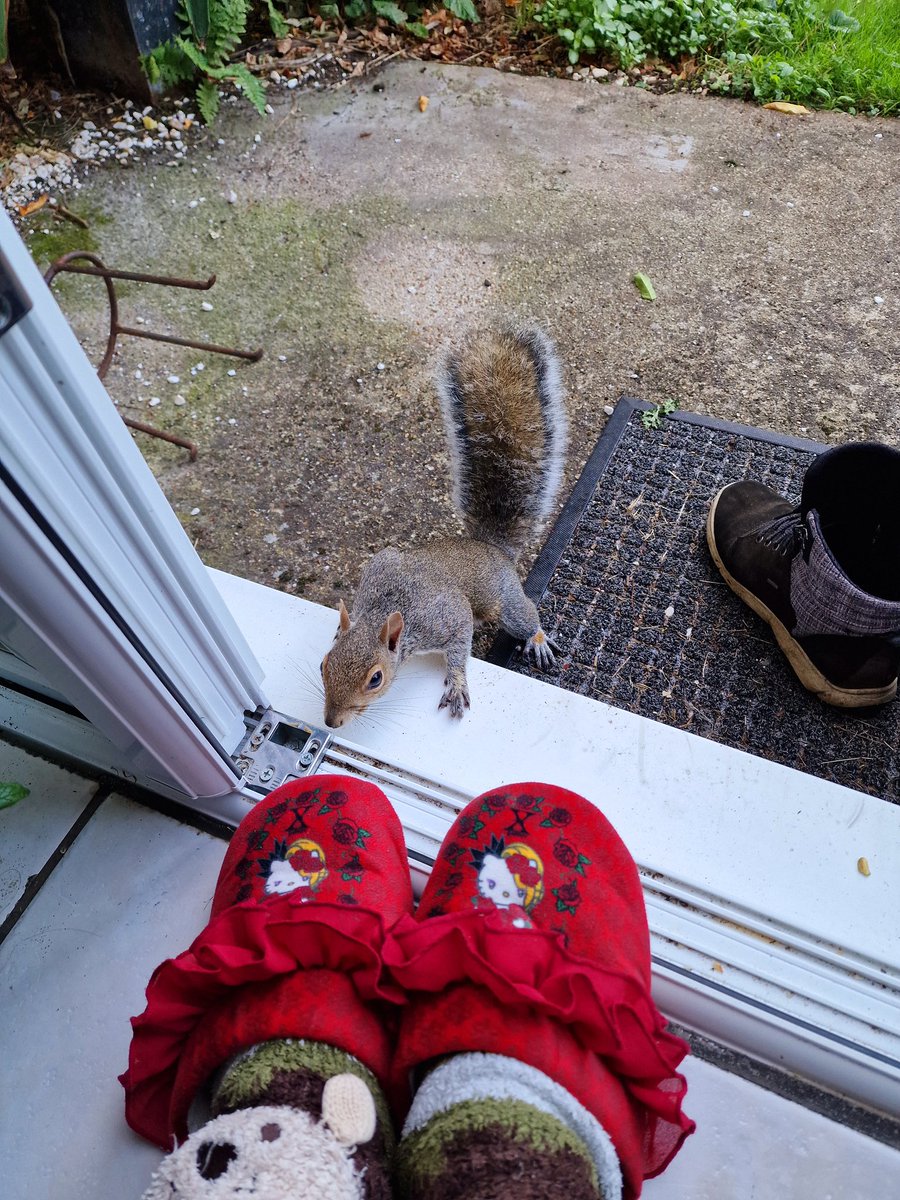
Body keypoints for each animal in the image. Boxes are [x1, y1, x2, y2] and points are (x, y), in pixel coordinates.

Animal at [320, 323, 568, 729]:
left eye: (376, 679)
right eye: (324, 665)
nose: (331, 722)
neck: (382, 611)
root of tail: (491, 548)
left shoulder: (444, 618)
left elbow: (459, 644)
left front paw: (456, 683)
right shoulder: (379, 568)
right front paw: (342, 626)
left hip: (507, 602)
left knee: (523, 617)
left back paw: (537, 640)